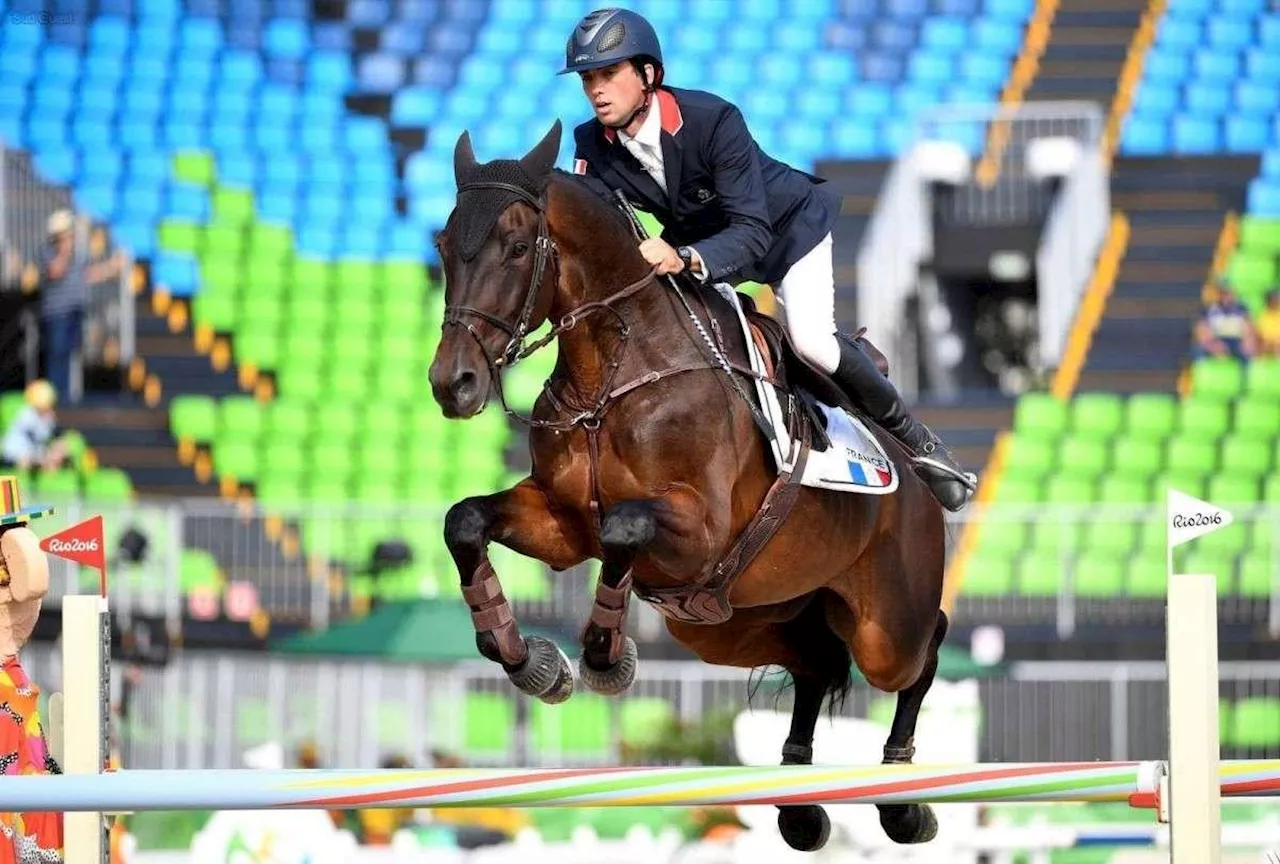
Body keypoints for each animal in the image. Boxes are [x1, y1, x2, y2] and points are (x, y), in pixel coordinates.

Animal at [430, 119, 952, 849]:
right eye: (444, 246)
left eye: (515, 248)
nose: (454, 385)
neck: (614, 369)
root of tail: (911, 483)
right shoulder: (563, 526)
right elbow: (466, 522)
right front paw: (532, 661)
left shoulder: (699, 532)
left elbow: (625, 525)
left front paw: (604, 660)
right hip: (732, 622)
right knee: (815, 662)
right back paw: (800, 806)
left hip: (885, 625)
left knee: (920, 651)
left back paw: (904, 800)